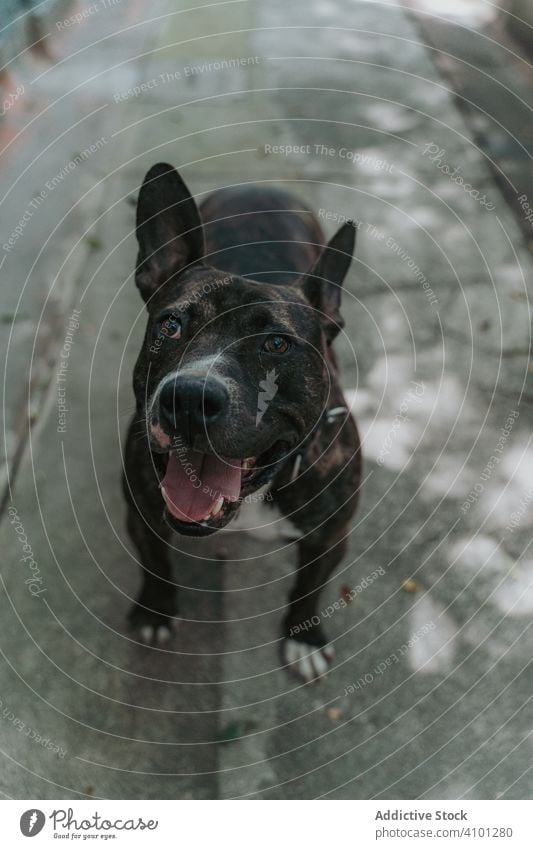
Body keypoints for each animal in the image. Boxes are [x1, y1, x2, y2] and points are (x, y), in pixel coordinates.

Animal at [122, 164, 360, 684]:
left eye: (276, 344)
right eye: (170, 326)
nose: (189, 397)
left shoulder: (330, 537)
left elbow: (309, 586)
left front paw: (304, 636)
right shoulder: (142, 511)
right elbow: (154, 563)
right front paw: (156, 610)